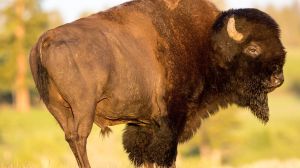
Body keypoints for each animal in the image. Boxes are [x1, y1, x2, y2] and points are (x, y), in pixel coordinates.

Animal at [28, 0, 286, 167]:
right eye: (253, 49)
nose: (278, 79)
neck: (206, 43)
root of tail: (45, 40)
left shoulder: (142, 124)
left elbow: (143, 155)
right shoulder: (172, 119)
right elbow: (164, 155)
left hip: (58, 109)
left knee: (71, 139)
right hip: (83, 108)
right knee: (79, 138)